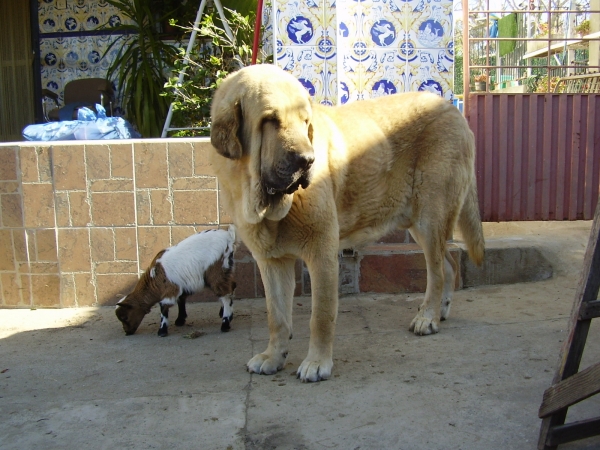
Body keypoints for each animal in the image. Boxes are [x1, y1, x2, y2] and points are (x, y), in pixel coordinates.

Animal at [209, 63, 486, 382]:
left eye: (305, 122)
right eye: (270, 121)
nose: (308, 160)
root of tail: (453, 109)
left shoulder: (322, 255)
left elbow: (321, 315)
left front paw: (317, 362)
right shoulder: (272, 262)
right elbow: (276, 317)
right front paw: (273, 357)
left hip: (430, 218)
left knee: (437, 272)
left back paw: (426, 317)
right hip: (419, 224)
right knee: (449, 265)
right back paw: (439, 311)